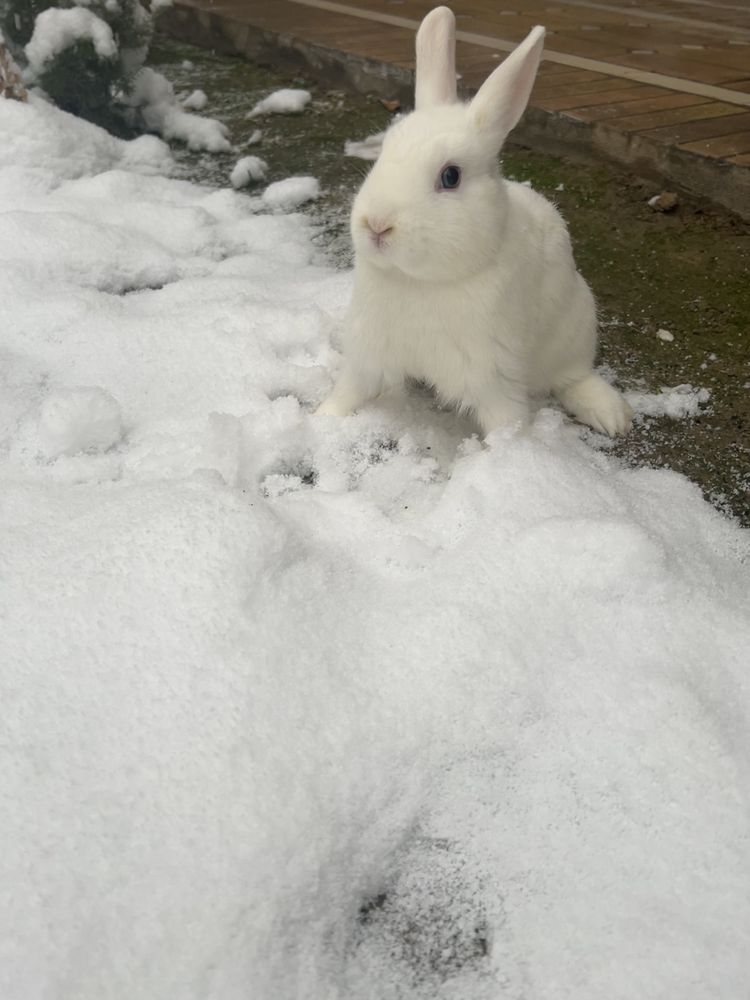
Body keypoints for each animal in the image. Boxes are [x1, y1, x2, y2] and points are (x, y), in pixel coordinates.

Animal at [318, 6, 636, 438]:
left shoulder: (491, 371)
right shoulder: (369, 349)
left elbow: (505, 419)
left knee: (572, 377)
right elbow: (349, 391)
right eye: (382, 154)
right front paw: (322, 419)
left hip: (576, 327)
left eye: (451, 176)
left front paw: (509, 448)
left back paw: (612, 416)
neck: (424, 282)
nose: (377, 224)